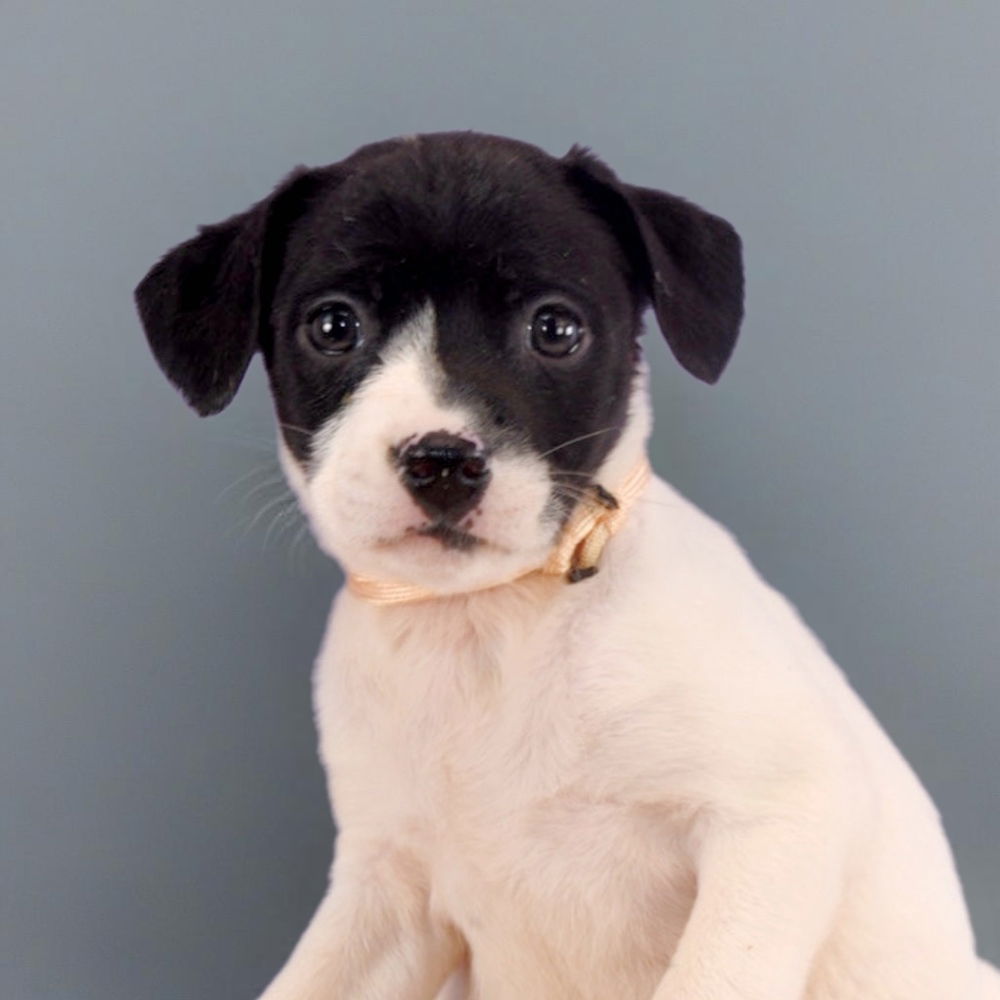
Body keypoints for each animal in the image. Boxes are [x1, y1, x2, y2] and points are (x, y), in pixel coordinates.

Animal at [135, 133, 1000, 1000]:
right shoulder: (391, 888)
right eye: (334, 325)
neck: (491, 623)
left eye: (555, 329)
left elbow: (707, 976)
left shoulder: (774, 822)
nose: (441, 462)